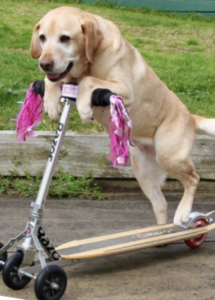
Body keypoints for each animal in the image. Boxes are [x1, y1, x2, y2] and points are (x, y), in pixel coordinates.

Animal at [29, 5, 215, 225]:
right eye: (42, 37)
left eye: (65, 38)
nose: (44, 64)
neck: (89, 61)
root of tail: (191, 117)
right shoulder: (64, 78)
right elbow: (52, 80)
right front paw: (51, 102)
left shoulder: (124, 89)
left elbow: (88, 81)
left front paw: (84, 107)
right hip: (143, 173)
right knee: (161, 204)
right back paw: (159, 230)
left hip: (169, 156)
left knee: (193, 179)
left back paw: (183, 213)